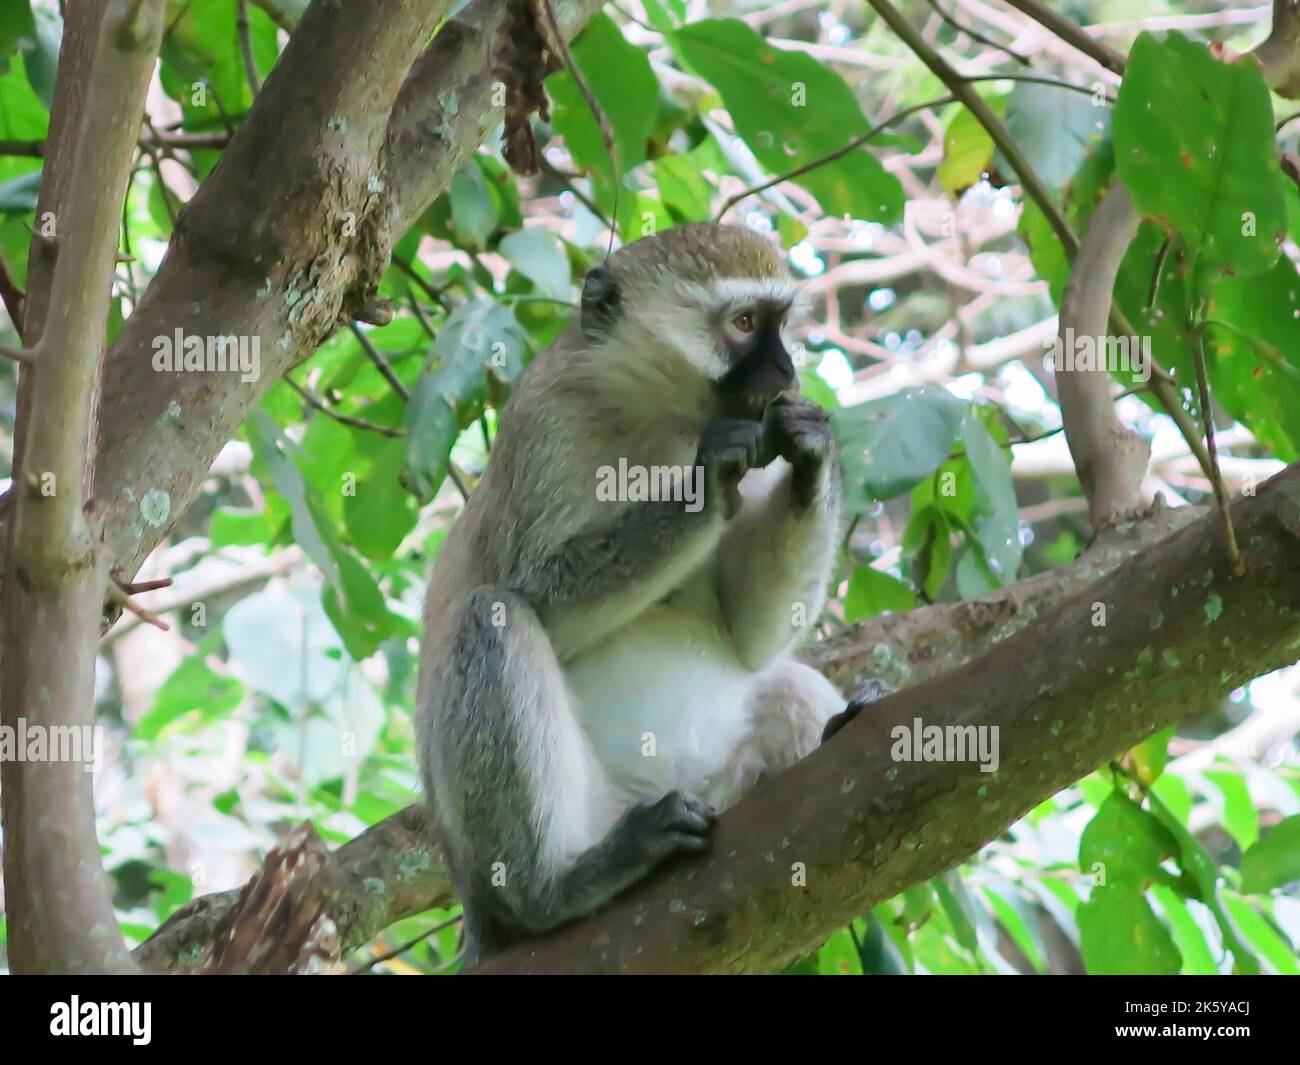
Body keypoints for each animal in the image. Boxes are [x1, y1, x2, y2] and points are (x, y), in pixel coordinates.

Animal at [416, 221, 852, 962]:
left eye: (781, 325)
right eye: (743, 325)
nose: (787, 372)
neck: (658, 417)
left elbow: (751, 633)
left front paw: (811, 448)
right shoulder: (544, 417)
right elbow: (534, 590)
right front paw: (709, 479)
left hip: (722, 789)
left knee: (786, 684)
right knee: (494, 616)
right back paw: (559, 886)